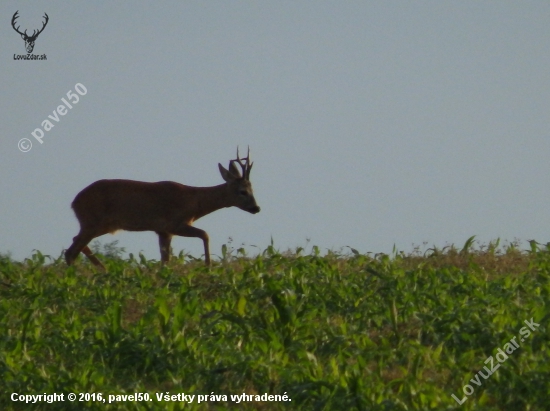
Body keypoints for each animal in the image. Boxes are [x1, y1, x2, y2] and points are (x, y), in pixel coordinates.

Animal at [65, 148, 260, 268]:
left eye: (253, 189)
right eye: (242, 191)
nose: (256, 208)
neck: (194, 202)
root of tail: (74, 202)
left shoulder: (163, 231)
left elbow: (165, 261)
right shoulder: (174, 224)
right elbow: (205, 234)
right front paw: (208, 266)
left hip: (100, 225)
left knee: (75, 243)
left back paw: (103, 270)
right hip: (92, 222)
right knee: (71, 251)